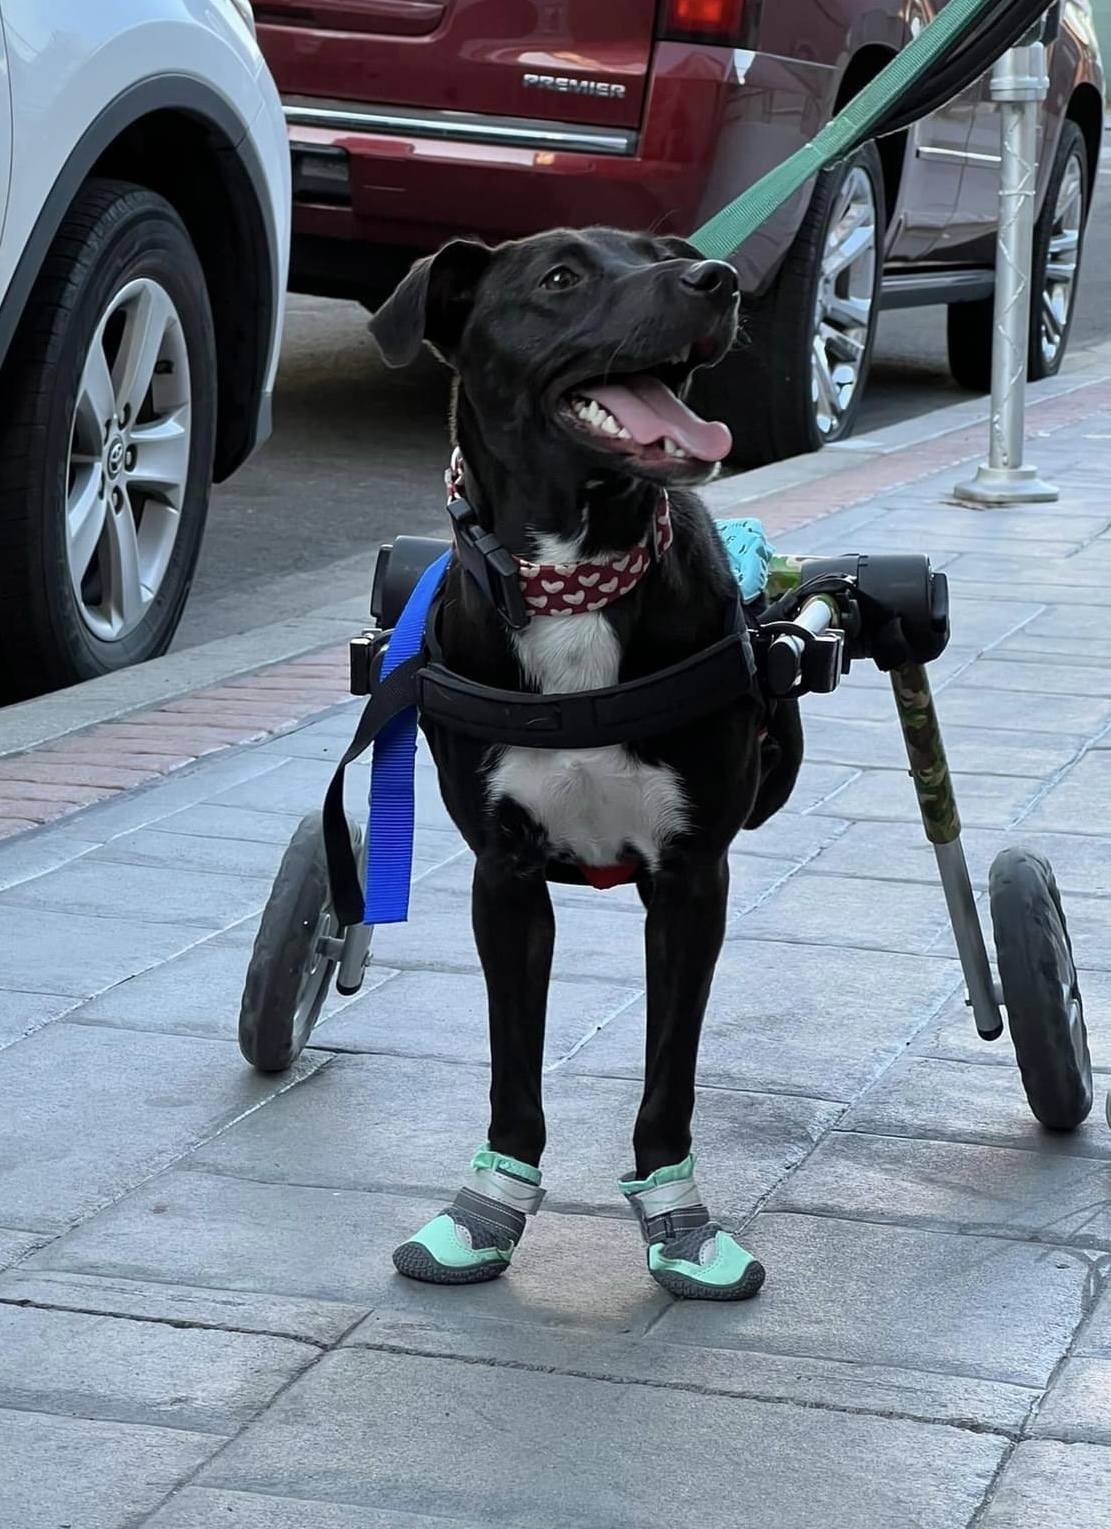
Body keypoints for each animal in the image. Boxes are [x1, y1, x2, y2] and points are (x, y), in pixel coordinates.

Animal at [371, 226, 800, 1302]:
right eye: (559, 278)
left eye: (669, 251)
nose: (716, 279)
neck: (577, 579)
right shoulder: (505, 877)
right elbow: (511, 1064)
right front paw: (487, 1208)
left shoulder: (691, 879)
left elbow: (668, 1073)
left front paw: (679, 1221)